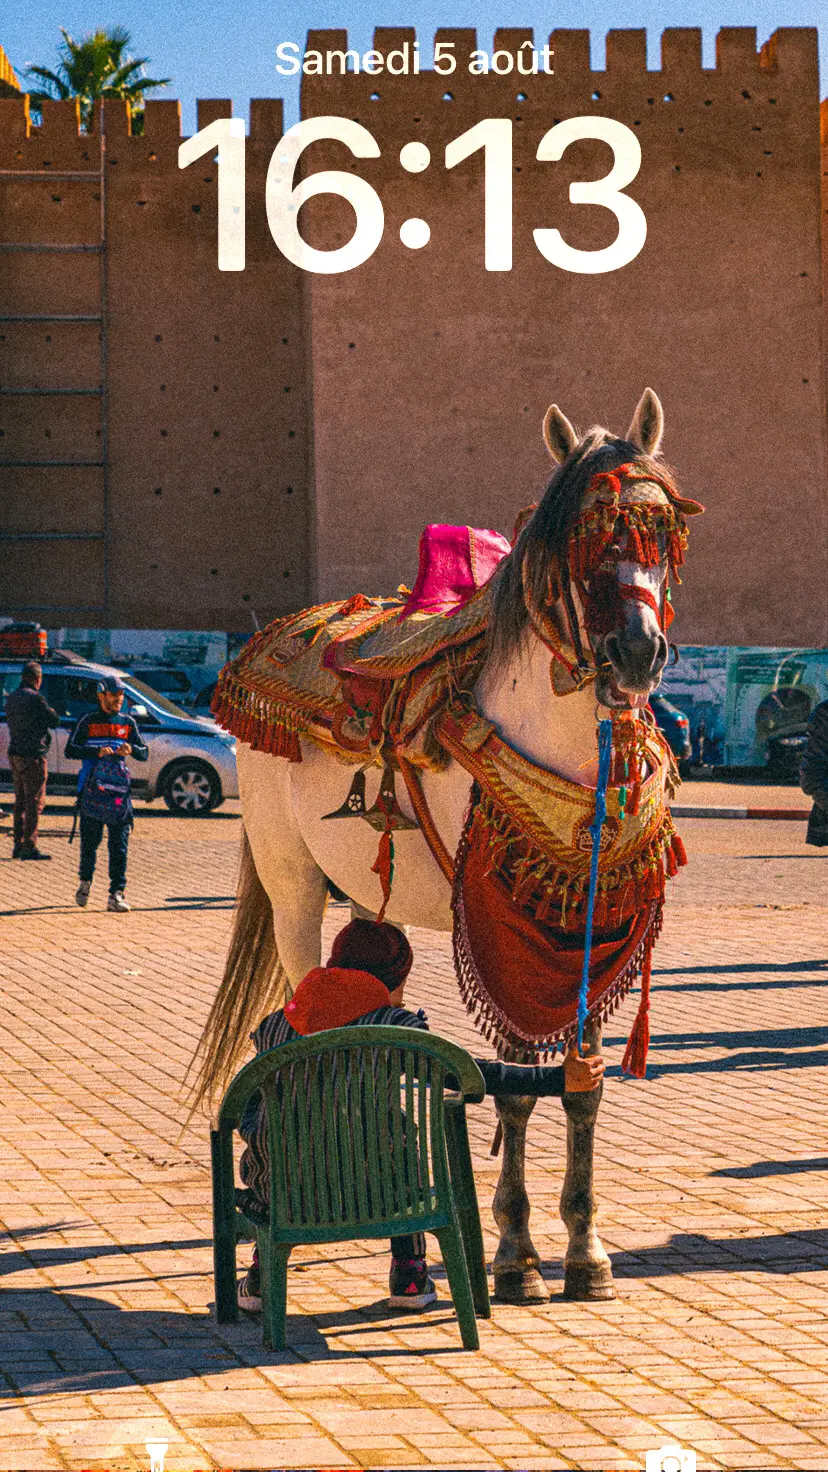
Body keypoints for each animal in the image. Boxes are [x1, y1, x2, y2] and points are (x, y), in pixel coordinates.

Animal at [193, 391, 683, 1301]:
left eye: (662, 533)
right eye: (581, 536)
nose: (636, 653)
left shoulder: (592, 935)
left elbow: (583, 1090)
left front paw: (586, 1248)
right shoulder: (503, 929)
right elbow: (518, 1088)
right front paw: (517, 1256)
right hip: (292, 883)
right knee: (301, 999)